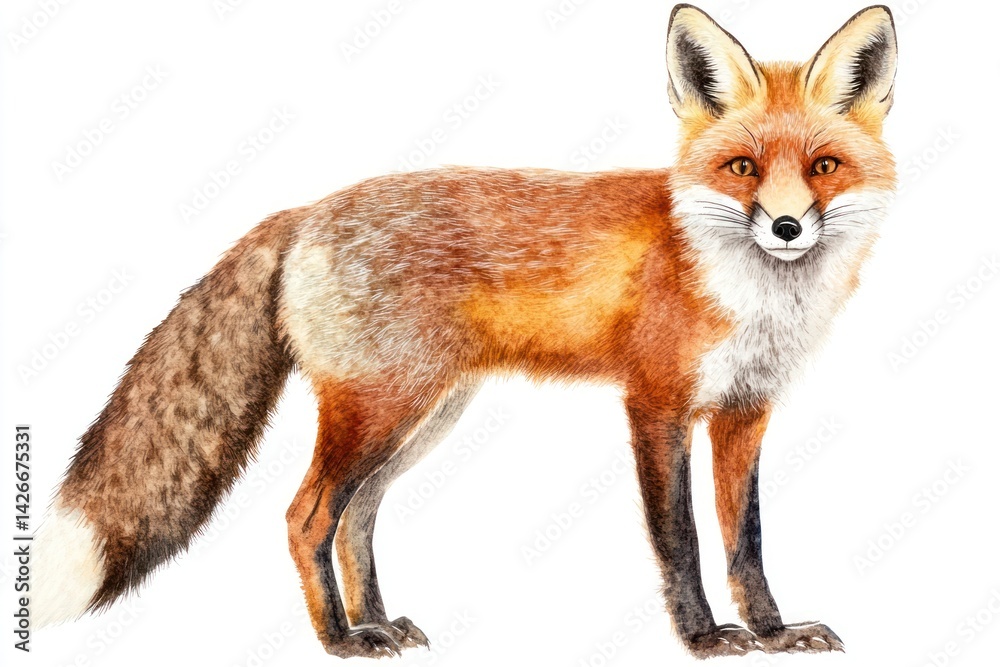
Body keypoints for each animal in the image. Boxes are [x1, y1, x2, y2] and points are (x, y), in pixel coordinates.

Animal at [33, 3, 897, 660]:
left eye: (823, 166)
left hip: (423, 416)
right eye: (742, 168)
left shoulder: (746, 410)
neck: (747, 289)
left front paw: (773, 630)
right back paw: (340, 639)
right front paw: (706, 638)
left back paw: (377, 621)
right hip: (379, 409)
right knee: (306, 516)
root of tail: (304, 211)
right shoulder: (656, 404)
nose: (786, 228)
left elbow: (746, 539)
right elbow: (680, 539)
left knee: (355, 518)